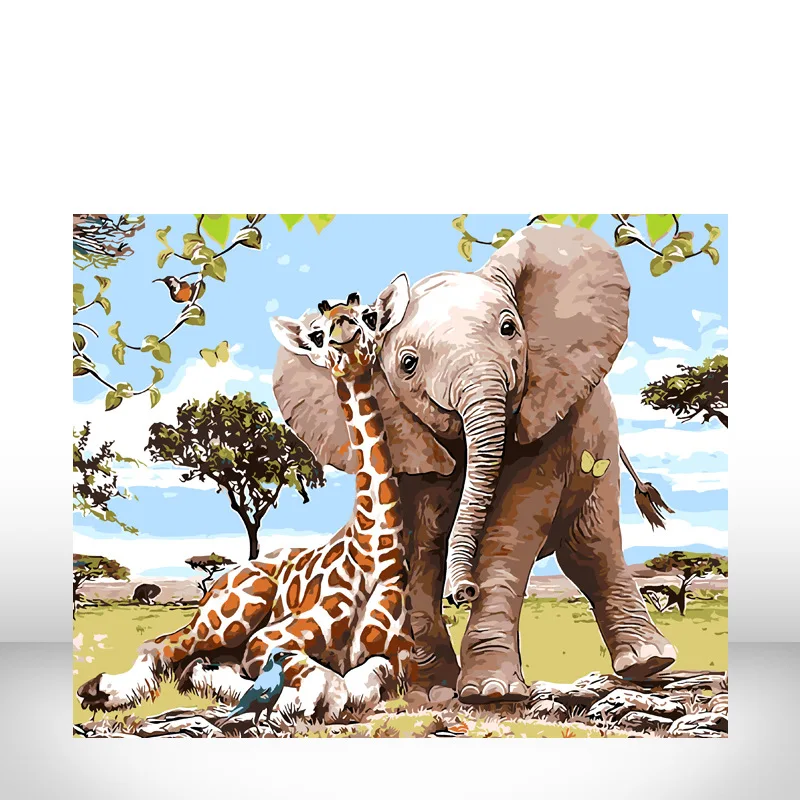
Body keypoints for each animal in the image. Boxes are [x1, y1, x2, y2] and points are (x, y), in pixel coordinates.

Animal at [77, 275, 416, 724]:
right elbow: (328, 686)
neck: (374, 549)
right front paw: (292, 701)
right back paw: (101, 690)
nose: (344, 329)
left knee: (189, 666)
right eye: (317, 334)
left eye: (370, 316)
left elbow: (364, 681)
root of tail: (222, 580)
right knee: (163, 648)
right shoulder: (267, 640)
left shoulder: (402, 656)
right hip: (234, 612)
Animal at [273, 224, 677, 705]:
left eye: (509, 328)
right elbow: (418, 541)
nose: (462, 591)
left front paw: (489, 691)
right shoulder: (403, 439)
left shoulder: (547, 412)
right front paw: (433, 693)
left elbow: (511, 528)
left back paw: (648, 663)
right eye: (407, 364)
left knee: (592, 547)